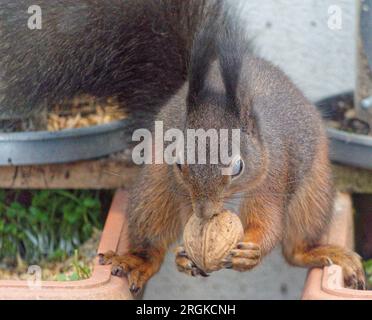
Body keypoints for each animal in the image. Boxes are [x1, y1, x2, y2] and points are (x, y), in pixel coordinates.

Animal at [0, 0, 364, 296]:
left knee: (295, 248)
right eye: (179, 163)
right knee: (152, 237)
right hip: (154, 192)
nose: (203, 213)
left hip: (314, 192)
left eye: (238, 166)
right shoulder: (173, 183)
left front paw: (250, 251)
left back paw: (323, 253)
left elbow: (269, 224)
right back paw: (138, 260)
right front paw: (185, 257)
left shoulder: (274, 176)